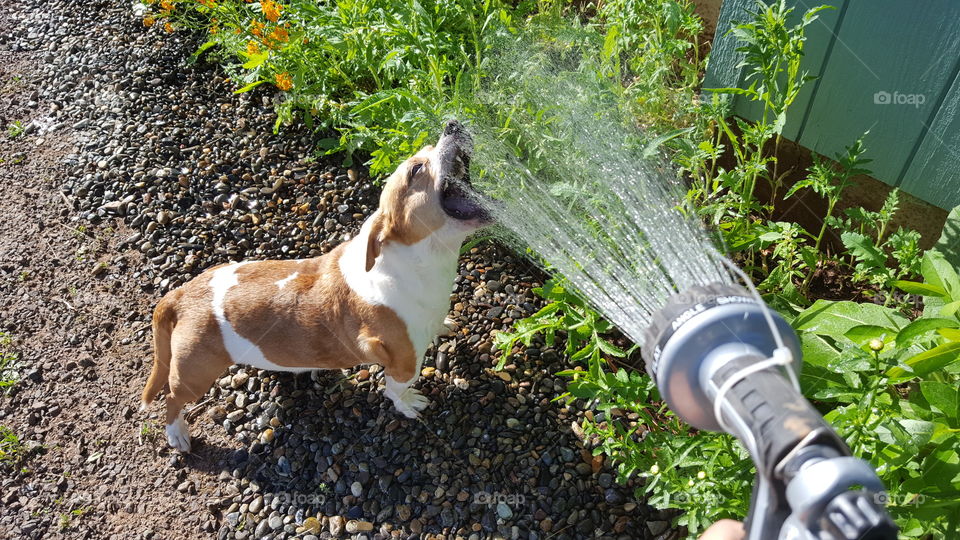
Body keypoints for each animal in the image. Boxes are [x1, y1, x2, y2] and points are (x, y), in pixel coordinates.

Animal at [141, 121, 488, 452]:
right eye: (416, 169)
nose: (452, 124)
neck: (418, 263)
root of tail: (182, 294)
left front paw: (443, 325)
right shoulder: (402, 363)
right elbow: (396, 390)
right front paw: (408, 404)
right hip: (195, 374)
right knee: (171, 398)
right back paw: (177, 434)